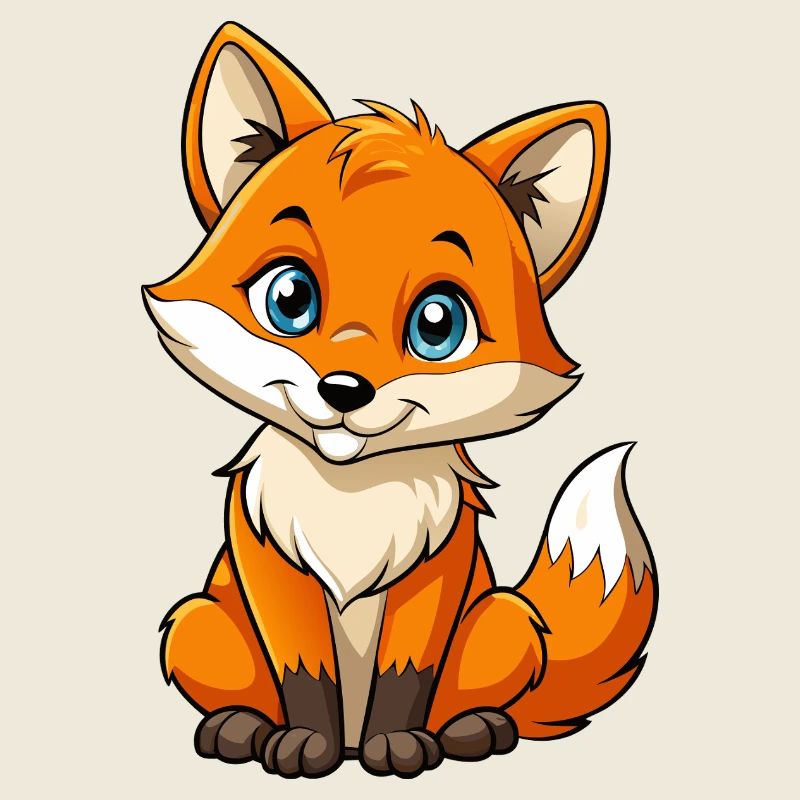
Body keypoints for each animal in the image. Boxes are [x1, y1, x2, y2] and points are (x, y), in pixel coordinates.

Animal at [142, 22, 658, 779]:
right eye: (289, 297)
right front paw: (305, 743)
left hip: (504, 621)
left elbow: (405, 675)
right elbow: (305, 673)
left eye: (437, 324)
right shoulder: (271, 566)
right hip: (197, 621)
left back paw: (472, 729)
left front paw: (401, 745)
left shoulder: (435, 570)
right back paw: (241, 727)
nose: (343, 389)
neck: (350, 501)